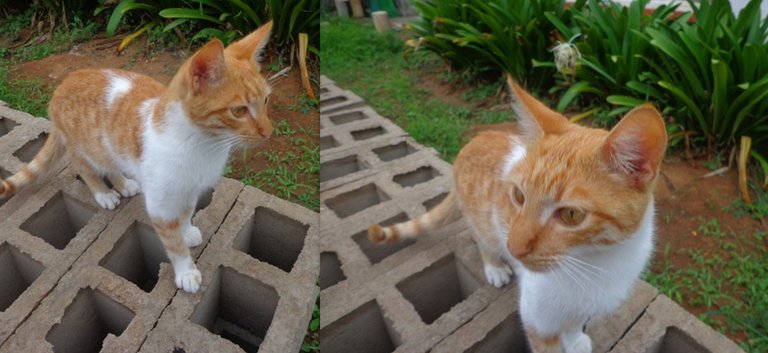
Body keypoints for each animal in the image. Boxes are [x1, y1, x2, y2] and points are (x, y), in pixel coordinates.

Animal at [0, 21, 274, 292]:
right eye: (239, 111)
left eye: (266, 100)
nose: (268, 132)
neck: (203, 145)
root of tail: (63, 84)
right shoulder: (161, 204)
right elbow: (173, 242)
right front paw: (186, 271)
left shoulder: (188, 189)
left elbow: (186, 212)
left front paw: (186, 231)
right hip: (86, 148)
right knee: (83, 166)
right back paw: (104, 193)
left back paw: (123, 183)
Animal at [368, 76, 664, 352]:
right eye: (519, 196)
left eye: (570, 215)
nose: (514, 249)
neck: (595, 263)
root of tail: (475, 140)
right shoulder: (537, 319)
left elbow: (573, 322)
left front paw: (574, 340)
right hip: (483, 222)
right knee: (482, 240)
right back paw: (495, 266)